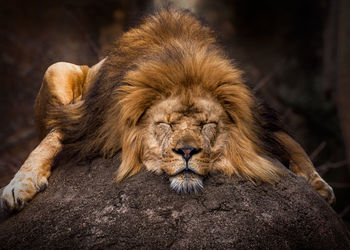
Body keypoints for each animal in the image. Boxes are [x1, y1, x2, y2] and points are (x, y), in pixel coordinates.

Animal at [0, 9, 334, 213]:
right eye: (164, 124)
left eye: (207, 124)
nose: (186, 152)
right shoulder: (87, 120)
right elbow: (48, 142)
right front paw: (18, 185)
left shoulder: (260, 113)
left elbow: (292, 142)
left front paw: (318, 185)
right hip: (56, 68)